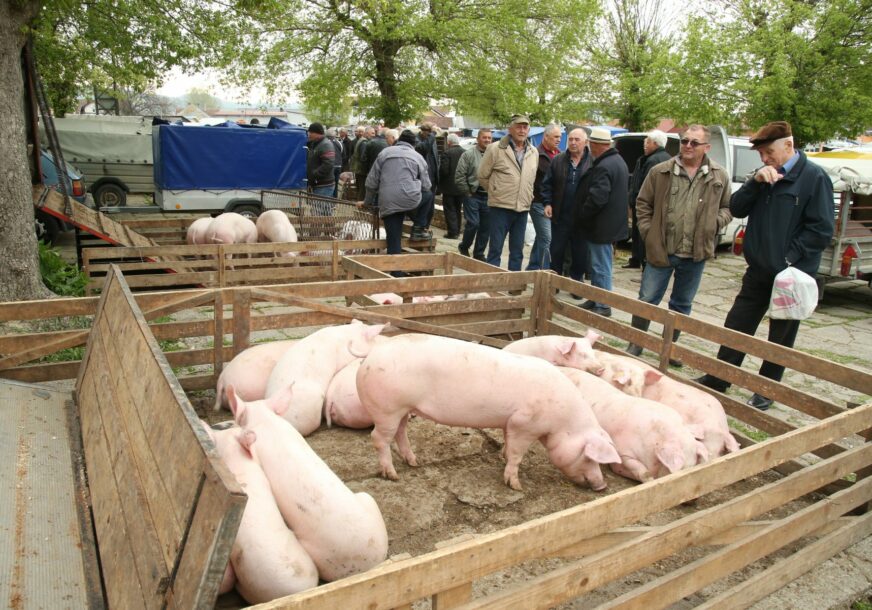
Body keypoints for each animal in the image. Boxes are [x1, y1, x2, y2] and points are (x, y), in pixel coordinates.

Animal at [356, 332, 620, 490]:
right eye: (590, 457)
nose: (602, 486)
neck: (562, 422)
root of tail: (369, 358)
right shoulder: (524, 424)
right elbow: (517, 454)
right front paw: (516, 485)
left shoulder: (510, 423)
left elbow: (508, 444)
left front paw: (502, 456)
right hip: (387, 409)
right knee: (378, 438)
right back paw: (393, 475)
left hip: (402, 409)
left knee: (400, 433)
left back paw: (413, 462)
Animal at [560, 364, 708, 482]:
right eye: (682, 469)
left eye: (693, 467)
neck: (653, 442)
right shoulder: (623, 451)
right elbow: (639, 469)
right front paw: (648, 479)